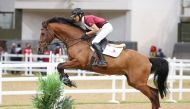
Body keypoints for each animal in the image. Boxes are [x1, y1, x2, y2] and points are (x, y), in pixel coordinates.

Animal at [37, 16, 168, 109]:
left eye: (43, 33)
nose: (40, 49)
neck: (77, 41)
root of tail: (147, 59)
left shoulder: (79, 62)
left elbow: (59, 65)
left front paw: (67, 81)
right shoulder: (71, 61)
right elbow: (60, 66)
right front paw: (67, 80)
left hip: (138, 82)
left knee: (153, 94)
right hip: (133, 81)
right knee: (154, 93)